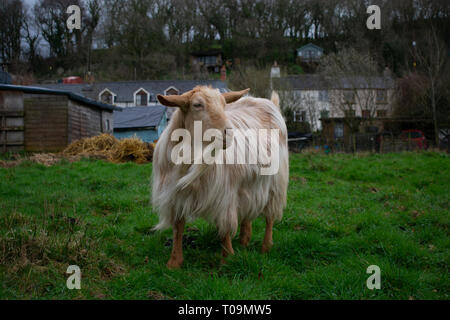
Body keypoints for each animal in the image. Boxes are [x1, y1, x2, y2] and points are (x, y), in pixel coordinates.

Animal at [153, 86, 290, 268]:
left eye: (224, 104)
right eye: (197, 105)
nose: (228, 134)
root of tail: (269, 102)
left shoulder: (225, 194)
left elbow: (225, 228)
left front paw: (227, 259)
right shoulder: (175, 196)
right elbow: (178, 228)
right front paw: (174, 262)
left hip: (276, 182)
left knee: (270, 215)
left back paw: (266, 247)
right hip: (248, 183)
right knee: (248, 210)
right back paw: (244, 240)